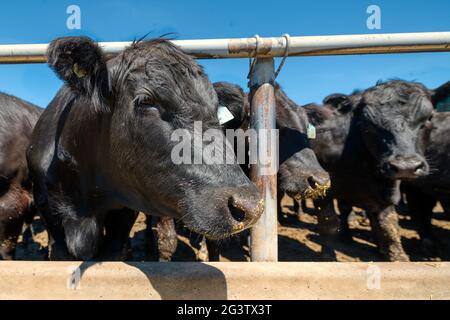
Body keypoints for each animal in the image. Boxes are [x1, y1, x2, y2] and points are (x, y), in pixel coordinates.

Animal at [304, 79, 434, 260]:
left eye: (428, 119)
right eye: (368, 125)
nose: (406, 166)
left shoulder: (386, 192)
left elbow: (389, 226)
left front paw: (397, 257)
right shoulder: (321, 190)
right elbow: (328, 224)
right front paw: (328, 257)